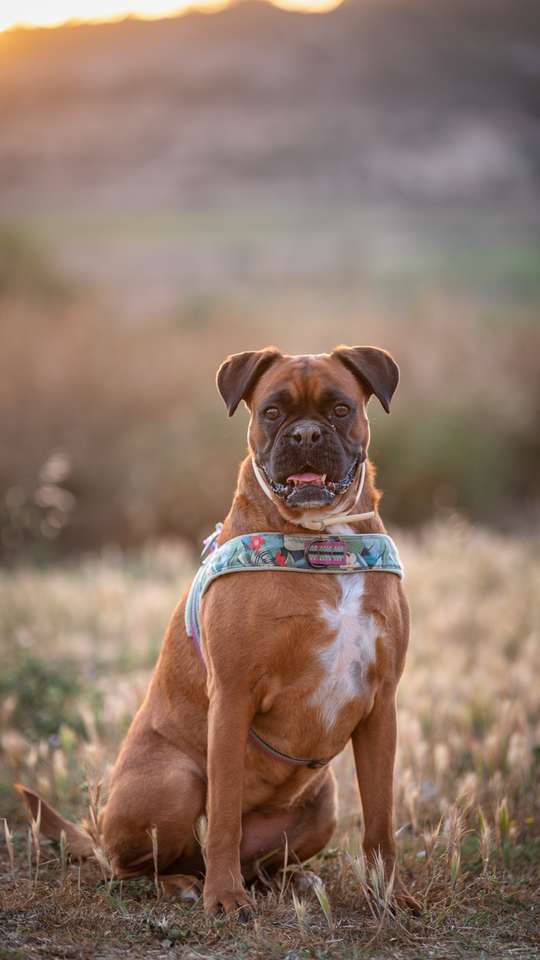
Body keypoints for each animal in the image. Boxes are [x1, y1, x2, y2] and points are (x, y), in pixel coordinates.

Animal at [15, 344, 414, 916]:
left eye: (340, 409)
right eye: (272, 411)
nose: (306, 435)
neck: (321, 542)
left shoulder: (381, 705)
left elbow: (380, 820)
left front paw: (389, 896)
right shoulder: (231, 696)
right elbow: (224, 813)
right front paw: (223, 900)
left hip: (323, 806)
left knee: (250, 861)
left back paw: (289, 880)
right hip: (175, 782)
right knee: (139, 865)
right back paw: (188, 885)